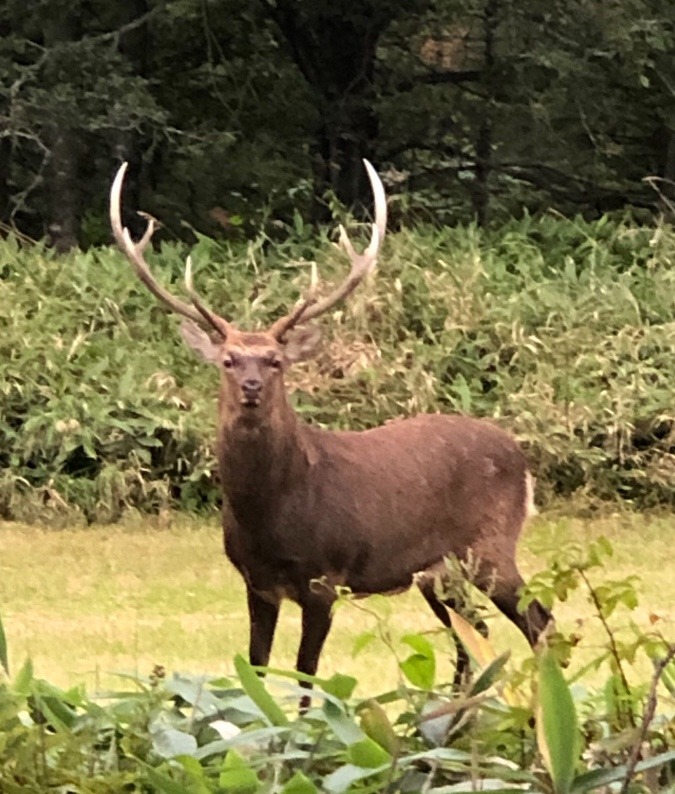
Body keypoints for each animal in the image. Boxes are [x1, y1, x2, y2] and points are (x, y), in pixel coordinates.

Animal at [111, 161, 552, 704]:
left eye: (275, 360)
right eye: (230, 360)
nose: (252, 387)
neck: (270, 513)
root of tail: (522, 457)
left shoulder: (326, 578)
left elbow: (307, 678)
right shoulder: (256, 582)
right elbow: (256, 669)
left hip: (490, 546)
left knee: (538, 619)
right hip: (438, 572)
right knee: (475, 633)